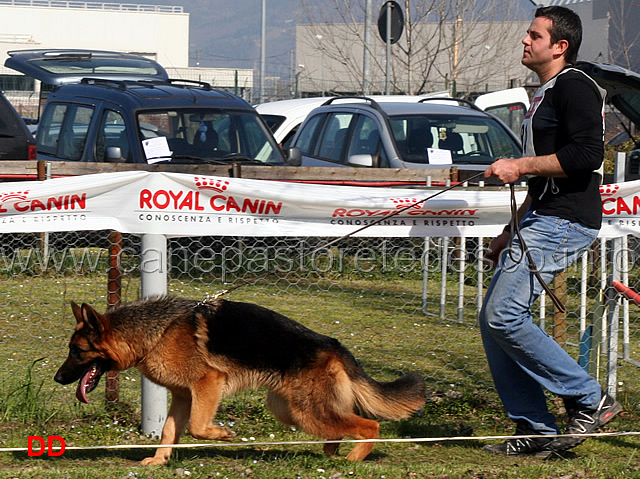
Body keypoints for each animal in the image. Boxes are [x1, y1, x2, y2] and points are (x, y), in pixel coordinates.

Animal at [55, 296, 424, 464]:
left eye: (76, 351)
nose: (58, 378)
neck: (156, 332)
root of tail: (332, 344)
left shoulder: (208, 383)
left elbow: (196, 428)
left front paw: (222, 434)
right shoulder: (183, 396)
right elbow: (169, 431)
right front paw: (159, 461)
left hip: (304, 410)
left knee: (369, 425)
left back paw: (351, 461)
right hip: (290, 409)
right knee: (340, 427)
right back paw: (329, 455)